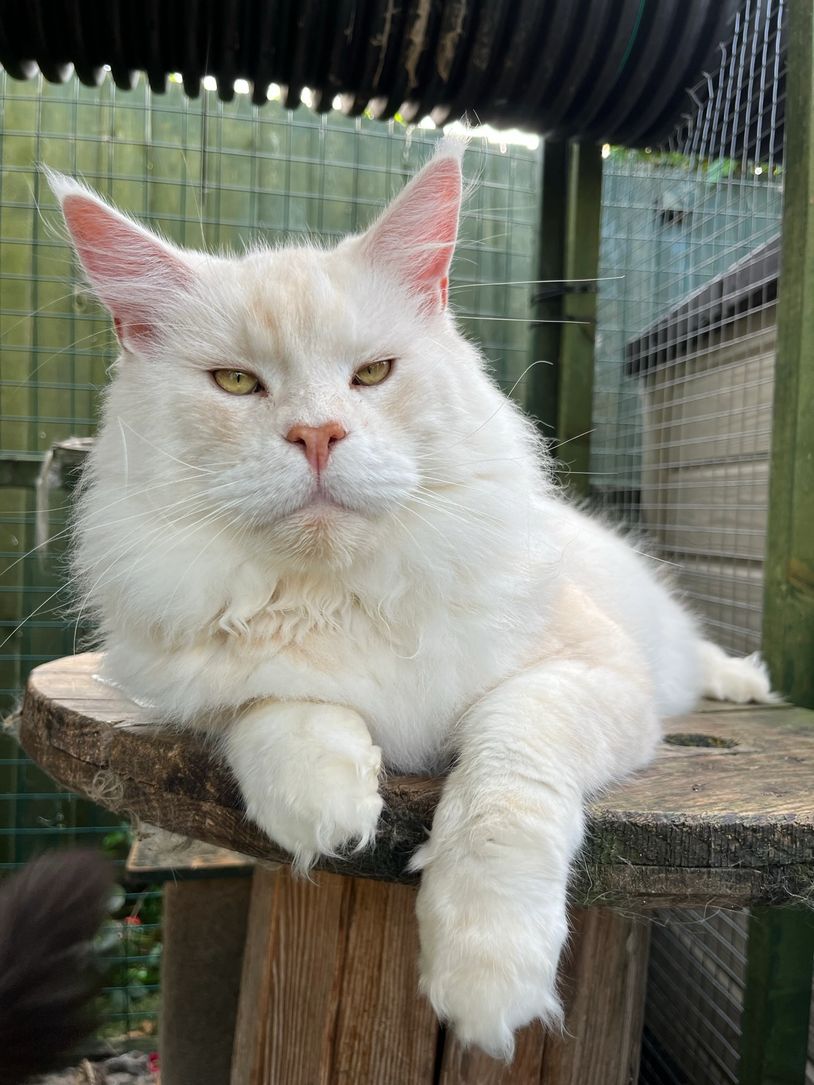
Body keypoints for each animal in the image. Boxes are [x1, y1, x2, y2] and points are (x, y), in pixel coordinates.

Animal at [47, 144, 772, 1058]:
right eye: (237, 382)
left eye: (372, 374)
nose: (317, 435)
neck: (339, 591)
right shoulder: (203, 684)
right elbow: (278, 704)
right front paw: (326, 808)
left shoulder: (587, 678)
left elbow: (504, 780)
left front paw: (485, 975)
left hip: (659, 649)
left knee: (700, 657)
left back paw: (747, 683)